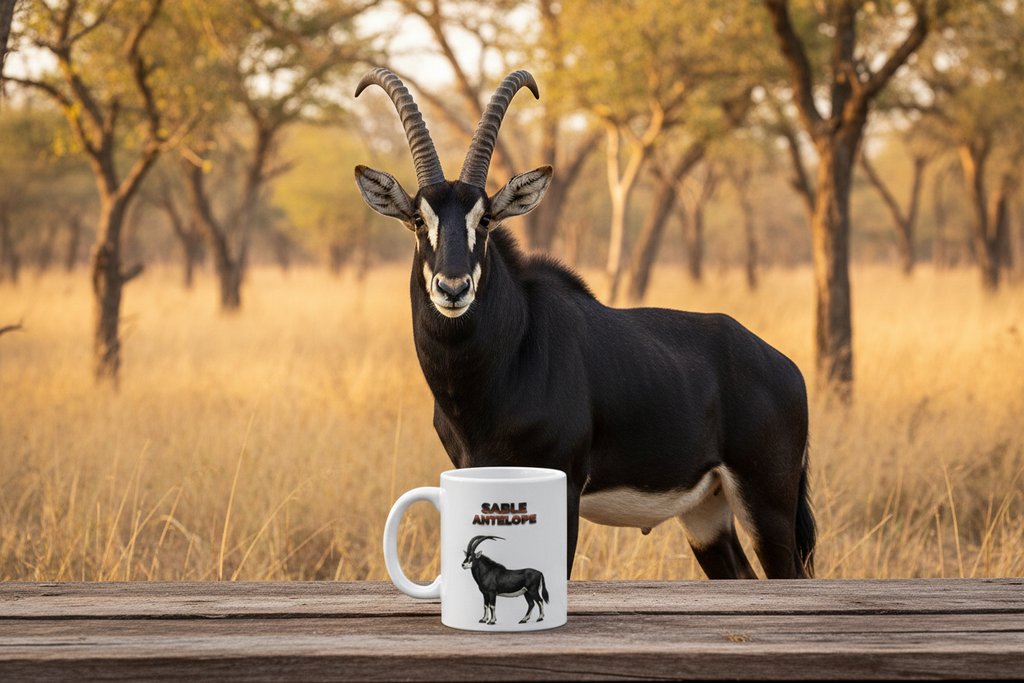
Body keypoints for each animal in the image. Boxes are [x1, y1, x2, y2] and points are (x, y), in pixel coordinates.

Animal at [355, 68, 815, 579]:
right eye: (418, 219)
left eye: (487, 218)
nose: (452, 288)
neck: (507, 359)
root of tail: (786, 368)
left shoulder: (566, 487)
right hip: (706, 512)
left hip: (767, 503)